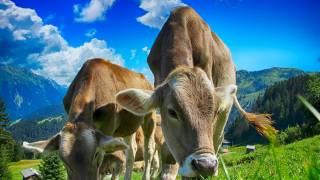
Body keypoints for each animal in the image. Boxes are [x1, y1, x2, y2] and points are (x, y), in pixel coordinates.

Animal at [22, 58, 158, 179]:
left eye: (96, 154)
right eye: (63, 161)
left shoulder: (108, 129)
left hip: (150, 116)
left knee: (149, 149)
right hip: (128, 124)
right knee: (131, 150)